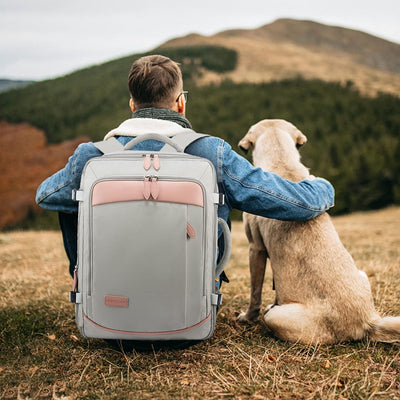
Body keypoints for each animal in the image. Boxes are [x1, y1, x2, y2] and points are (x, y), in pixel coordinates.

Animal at [238, 118, 400, 344]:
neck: (282, 160)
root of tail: (367, 322)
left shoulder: (256, 248)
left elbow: (255, 292)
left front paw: (247, 317)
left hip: (276, 318)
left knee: (270, 313)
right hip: (363, 274)